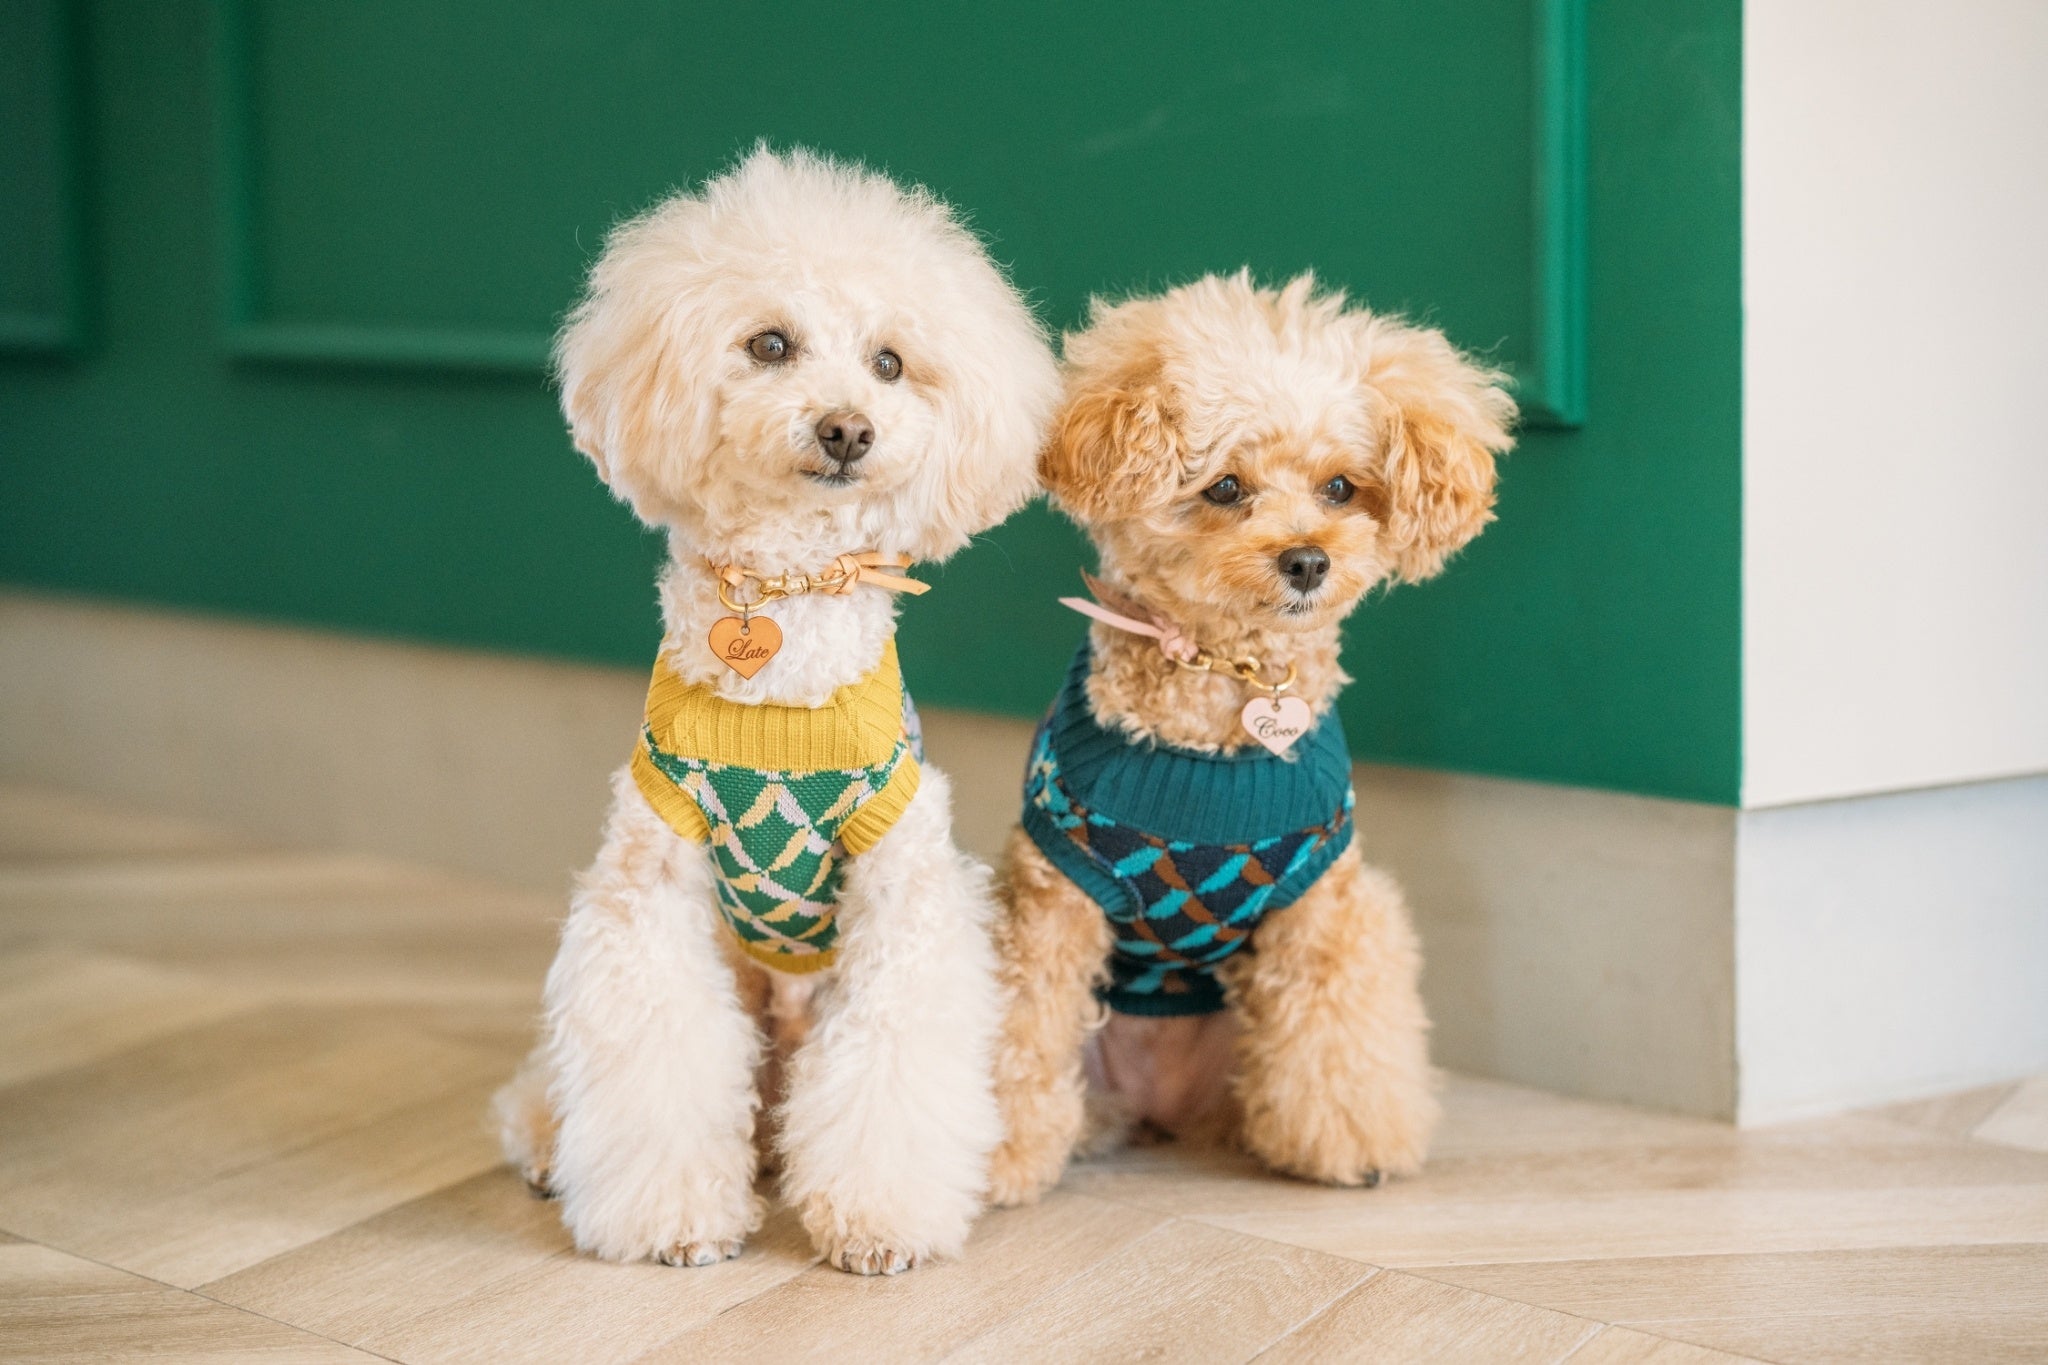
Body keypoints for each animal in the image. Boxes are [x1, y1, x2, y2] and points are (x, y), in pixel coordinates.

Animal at [493, 147, 1058, 1274]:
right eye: (769, 344)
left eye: (889, 363)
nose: (847, 428)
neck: (785, 651)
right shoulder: (650, 890)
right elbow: (658, 1054)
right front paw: (674, 1219)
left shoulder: (903, 891)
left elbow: (891, 1051)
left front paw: (879, 1223)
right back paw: (545, 1139)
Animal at [985, 272, 1514, 1202]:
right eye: (1226, 488)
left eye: (1341, 488)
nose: (1307, 559)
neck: (1227, 692)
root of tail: (1158, 1108)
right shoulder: (1050, 900)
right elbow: (1021, 1030)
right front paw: (1002, 1160)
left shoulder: (1324, 903)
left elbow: (1340, 1038)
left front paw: (1353, 1145)